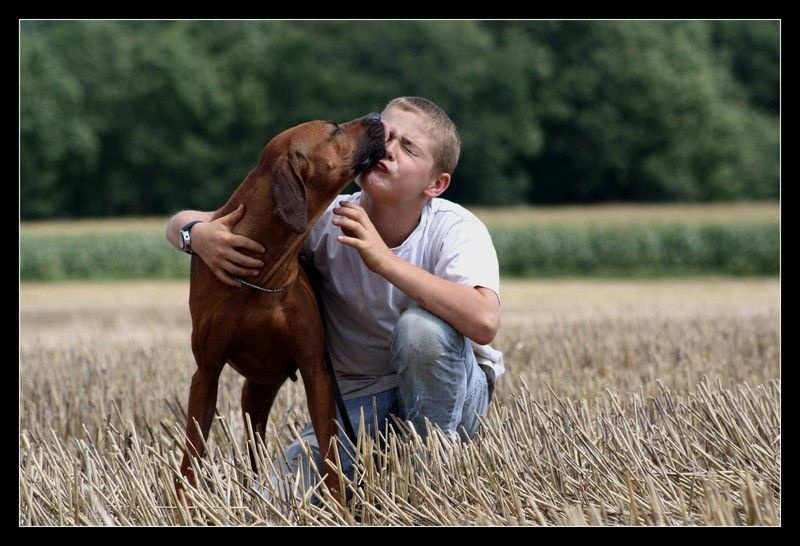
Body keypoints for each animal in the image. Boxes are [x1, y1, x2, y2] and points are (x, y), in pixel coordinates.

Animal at [178, 113, 384, 498]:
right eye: (334, 130)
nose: (377, 117)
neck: (263, 278)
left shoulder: (315, 369)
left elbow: (329, 448)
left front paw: (337, 503)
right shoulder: (206, 372)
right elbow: (191, 453)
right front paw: (184, 502)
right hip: (252, 395)